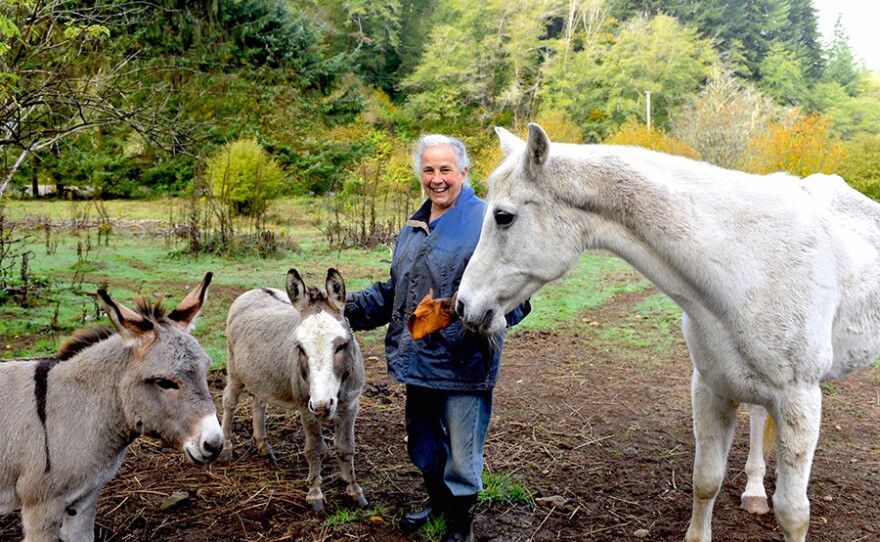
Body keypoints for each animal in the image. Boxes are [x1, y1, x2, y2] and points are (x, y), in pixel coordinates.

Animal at [454, 125, 880, 542]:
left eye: (503, 216)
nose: (463, 306)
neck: (749, 263)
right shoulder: (711, 388)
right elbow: (706, 481)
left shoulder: (798, 399)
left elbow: (793, 513)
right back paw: (755, 491)